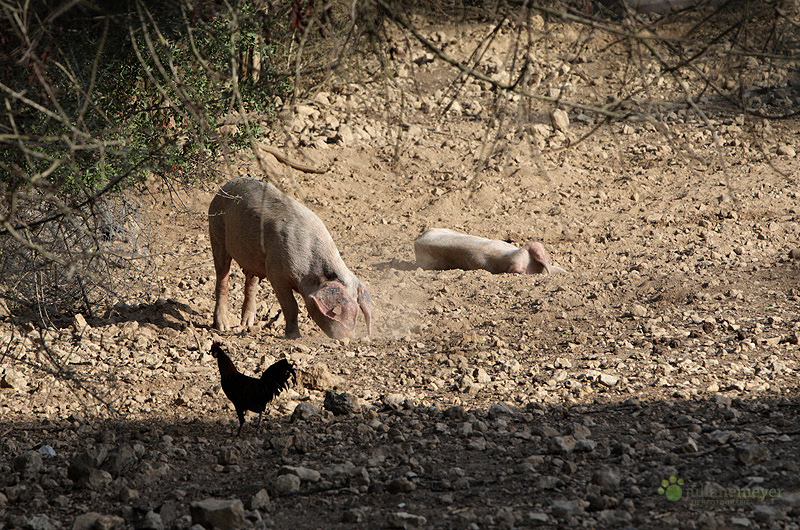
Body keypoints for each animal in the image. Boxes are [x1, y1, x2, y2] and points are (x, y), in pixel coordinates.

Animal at [205, 178, 370, 338]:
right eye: (336, 310)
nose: (346, 340)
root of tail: (225, 185)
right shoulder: (276, 273)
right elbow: (291, 305)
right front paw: (294, 336)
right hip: (216, 232)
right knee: (222, 278)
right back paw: (223, 327)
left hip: (252, 258)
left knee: (251, 284)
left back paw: (247, 324)